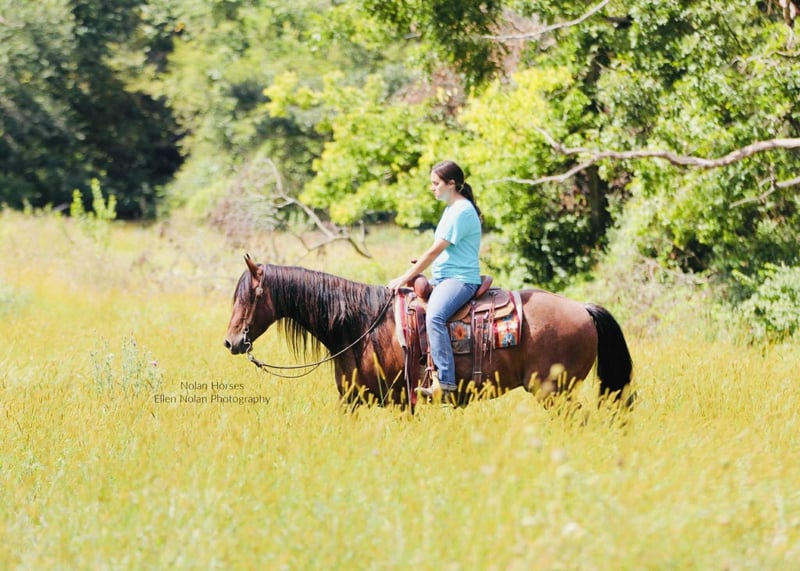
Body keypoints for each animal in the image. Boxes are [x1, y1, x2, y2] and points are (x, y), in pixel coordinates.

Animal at [224, 254, 633, 408]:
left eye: (249, 297)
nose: (231, 341)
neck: (363, 326)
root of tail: (583, 308)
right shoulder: (354, 400)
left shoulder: (403, 399)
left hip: (554, 391)